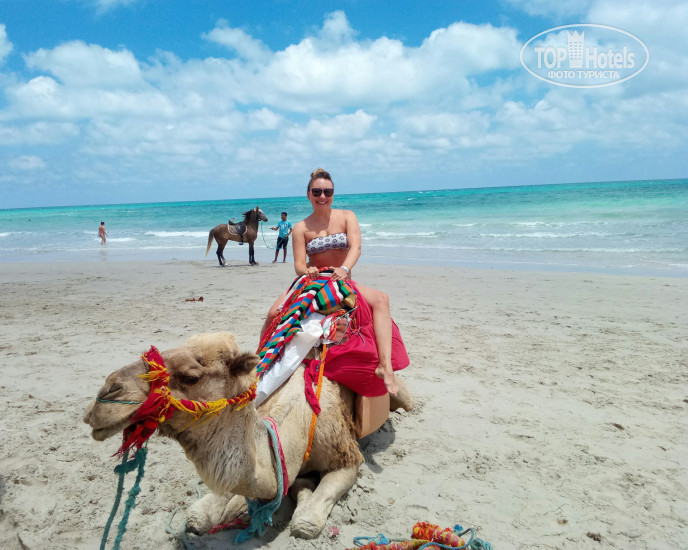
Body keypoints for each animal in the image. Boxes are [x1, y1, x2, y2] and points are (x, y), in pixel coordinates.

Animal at [83, 332, 413, 540]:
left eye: (191, 377)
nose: (107, 394)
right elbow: (200, 514)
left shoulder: (346, 457)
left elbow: (305, 521)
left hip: (394, 387)